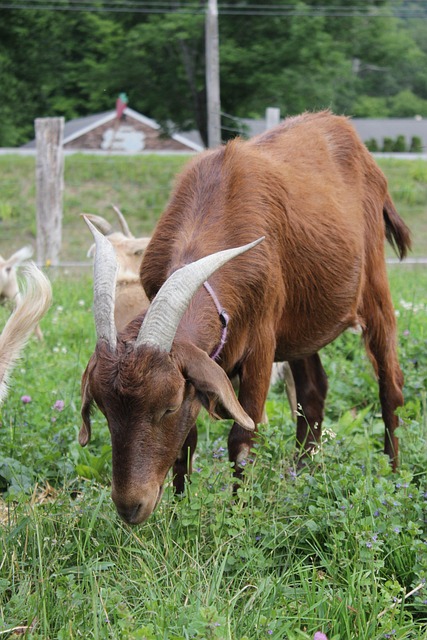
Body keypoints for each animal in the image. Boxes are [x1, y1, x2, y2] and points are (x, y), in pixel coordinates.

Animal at [80, 111, 412, 524]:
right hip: (300, 326)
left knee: (390, 385)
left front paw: (238, 515)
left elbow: (241, 437)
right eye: (103, 408)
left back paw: (393, 474)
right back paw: (301, 473)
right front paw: (180, 509)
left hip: (374, 288)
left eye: (167, 406)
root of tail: (344, 128)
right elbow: (187, 441)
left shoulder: (261, 345)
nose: (130, 507)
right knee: (313, 391)